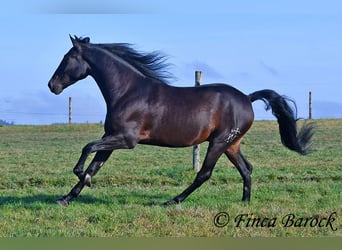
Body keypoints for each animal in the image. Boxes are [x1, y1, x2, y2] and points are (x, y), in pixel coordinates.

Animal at [47, 35, 312, 207]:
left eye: (67, 57)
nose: (52, 86)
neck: (128, 92)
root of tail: (247, 98)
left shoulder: (126, 139)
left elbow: (87, 149)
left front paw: (83, 178)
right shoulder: (111, 137)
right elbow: (95, 164)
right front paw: (67, 197)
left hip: (218, 143)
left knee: (204, 174)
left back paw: (172, 201)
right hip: (231, 144)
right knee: (247, 169)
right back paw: (245, 203)